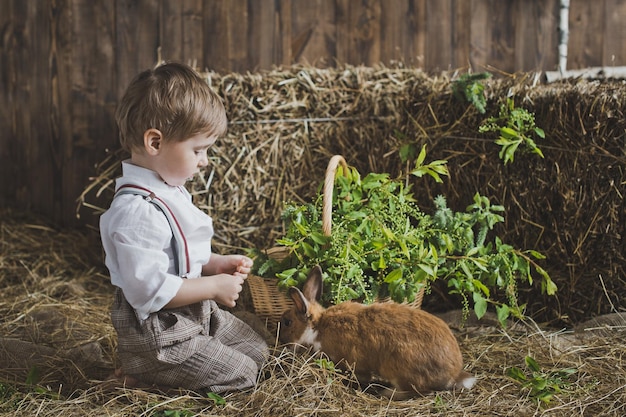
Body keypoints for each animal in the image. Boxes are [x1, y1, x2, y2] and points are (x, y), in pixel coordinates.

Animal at [278, 264, 472, 398]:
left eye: (287, 322)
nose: (279, 338)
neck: (318, 326)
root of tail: (453, 375)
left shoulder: (353, 363)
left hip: (400, 369)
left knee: (419, 391)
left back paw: (387, 393)